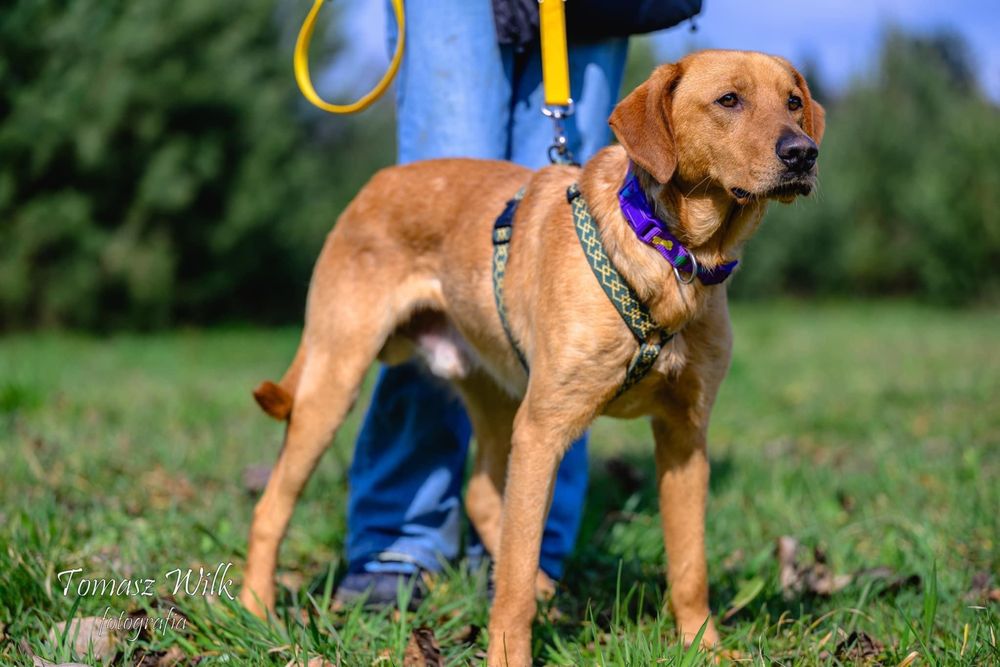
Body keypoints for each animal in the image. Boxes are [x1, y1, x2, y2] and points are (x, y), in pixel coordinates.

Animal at [238, 49, 824, 664]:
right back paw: (256, 613)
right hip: (336, 380)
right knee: (271, 507)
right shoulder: (545, 429)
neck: (674, 257)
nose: (803, 153)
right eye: (728, 100)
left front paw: (703, 649)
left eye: (794, 102)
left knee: (480, 495)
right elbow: (514, 576)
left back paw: (548, 588)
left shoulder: (684, 434)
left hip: (497, 395)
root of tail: (374, 186)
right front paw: (509, 653)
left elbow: (690, 565)